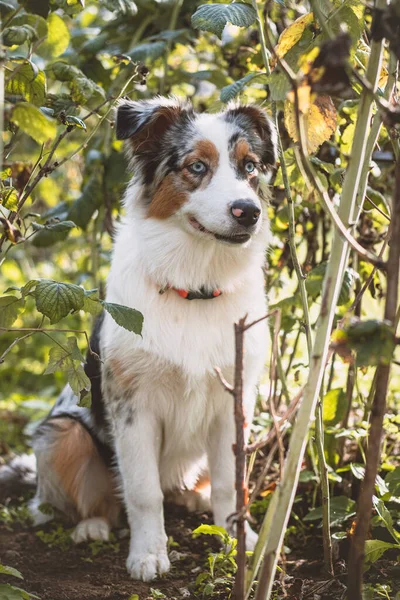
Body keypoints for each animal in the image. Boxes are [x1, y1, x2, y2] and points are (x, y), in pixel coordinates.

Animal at [29, 97, 276, 580]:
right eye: (196, 166)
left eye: (250, 167)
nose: (248, 211)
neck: (195, 285)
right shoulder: (132, 405)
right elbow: (143, 492)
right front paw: (147, 554)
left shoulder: (234, 401)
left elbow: (229, 483)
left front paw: (238, 543)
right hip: (61, 433)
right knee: (97, 499)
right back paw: (92, 526)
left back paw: (192, 496)